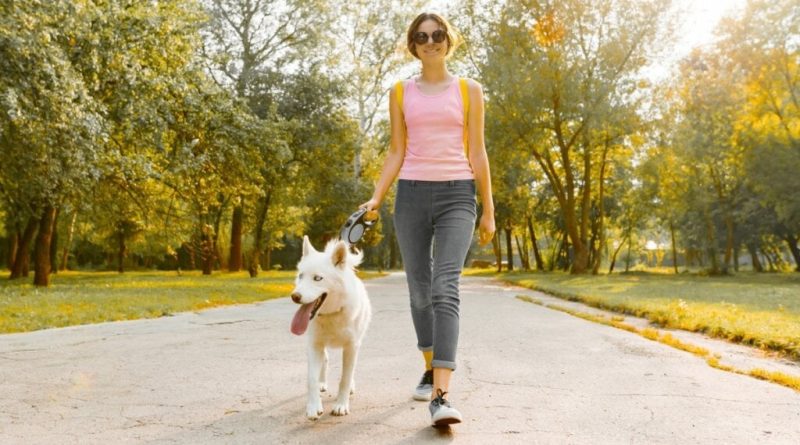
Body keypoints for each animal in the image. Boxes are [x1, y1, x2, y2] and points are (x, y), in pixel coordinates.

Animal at [290, 236, 372, 420]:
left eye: (317, 278)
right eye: (301, 276)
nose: (295, 296)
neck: (332, 314)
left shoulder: (351, 347)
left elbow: (345, 378)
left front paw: (341, 405)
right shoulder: (314, 345)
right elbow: (311, 379)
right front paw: (314, 407)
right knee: (325, 360)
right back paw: (322, 383)